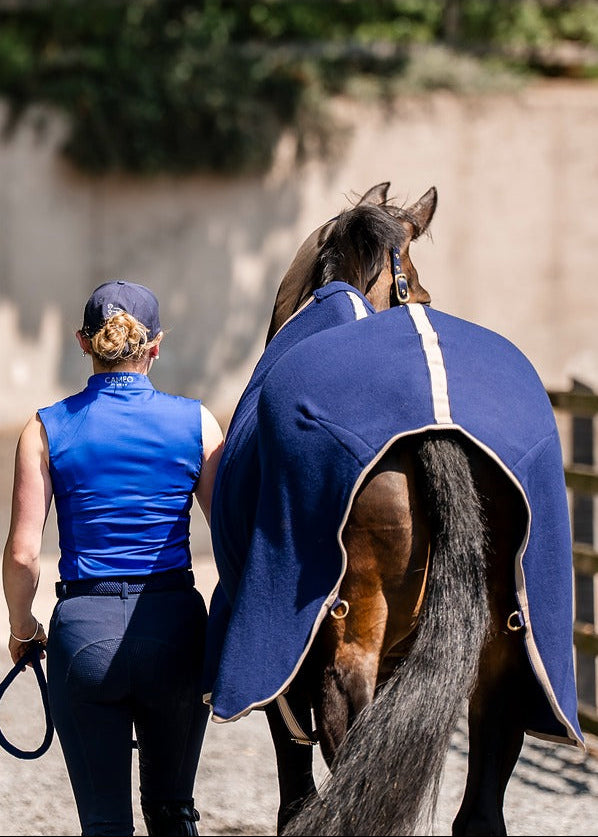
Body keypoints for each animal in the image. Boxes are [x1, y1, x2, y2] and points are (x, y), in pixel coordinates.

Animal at [204, 182, 583, 836]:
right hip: (507, 659)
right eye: (424, 293)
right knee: (481, 800)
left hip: (342, 654)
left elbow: (293, 779)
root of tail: (436, 413)